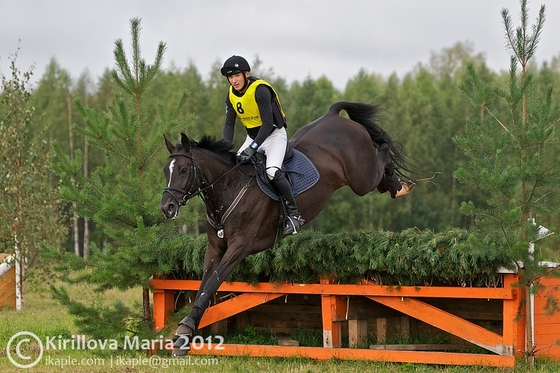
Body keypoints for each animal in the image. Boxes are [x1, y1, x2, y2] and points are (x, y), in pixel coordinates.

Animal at [160, 100, 414, 354]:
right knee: (380, 175)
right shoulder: (215, 248)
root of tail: (334, 116)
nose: (167, 207)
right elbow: (203, 286)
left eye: (183, 170)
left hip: (361, 179)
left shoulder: (240, 247)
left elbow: (212, 282)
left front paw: (185, 329)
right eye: (165, 171)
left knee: (383, 155)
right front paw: (185, 335)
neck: (230, 187)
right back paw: (394, 185)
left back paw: (400, 184)